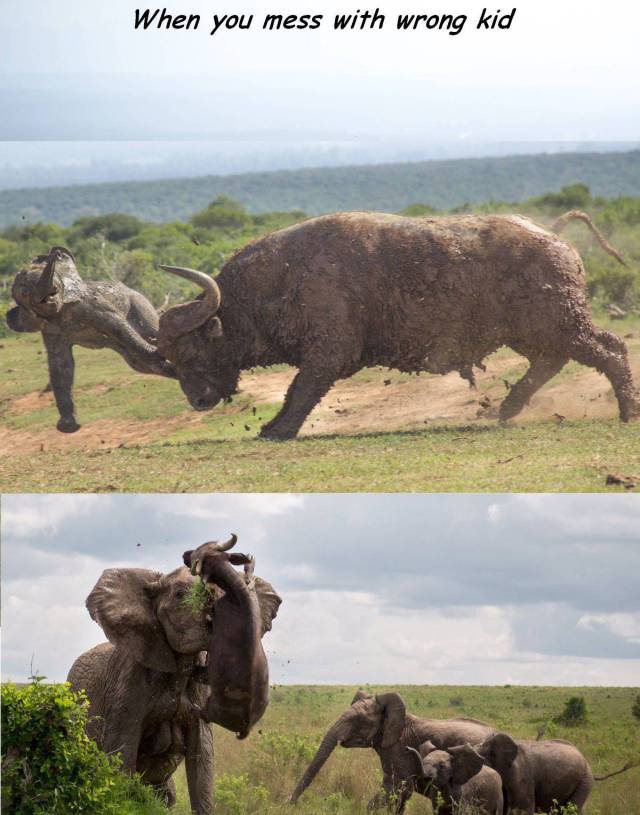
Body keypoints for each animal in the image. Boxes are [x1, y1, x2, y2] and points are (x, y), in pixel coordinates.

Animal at [156, 210, 640, 440]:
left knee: (610, 350)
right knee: (553, 360)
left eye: (193, 351)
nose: (198, 401)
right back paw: (507, 408)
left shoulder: (327, 353)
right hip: (533, 331)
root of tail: (553, 236)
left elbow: (301, 391)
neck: (279, 281)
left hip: (561, 323)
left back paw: (627, 411)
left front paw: (277, 429)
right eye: (170, 358)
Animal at [184, 536, 276, 740]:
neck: (237, 594)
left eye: (197, 551)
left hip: (211, 707)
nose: (185, 553)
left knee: (201, 713)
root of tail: (246, 726)